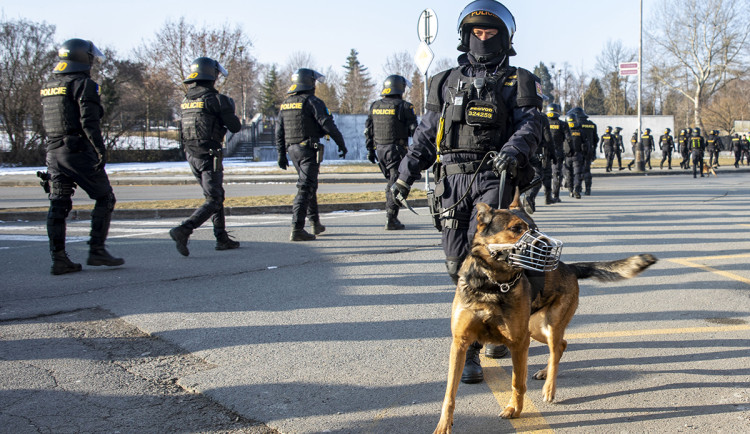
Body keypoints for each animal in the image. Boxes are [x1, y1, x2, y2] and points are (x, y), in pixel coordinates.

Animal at [434, 200, 656, 434]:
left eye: (535, 228)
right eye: (516, 228)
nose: (549, 248)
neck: (491, 284)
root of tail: (569, 267)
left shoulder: (518, 343)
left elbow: (517, 383)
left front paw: (514, 409)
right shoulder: (460, 343)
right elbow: (450, 393)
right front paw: (443, 425)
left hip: (548, 327)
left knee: (557, 347)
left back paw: (549, 387)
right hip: (535, 329)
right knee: (562, 345)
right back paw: (545, 372)